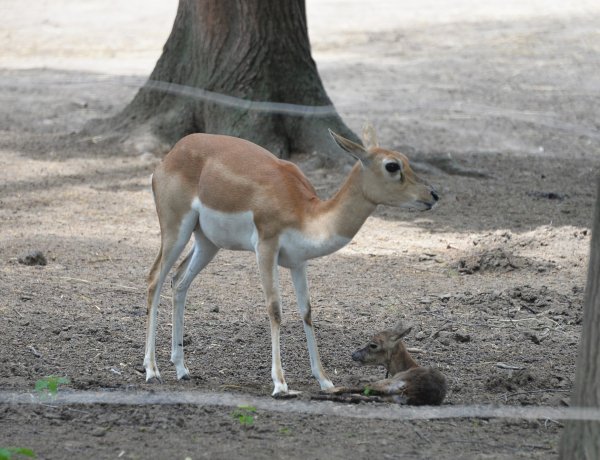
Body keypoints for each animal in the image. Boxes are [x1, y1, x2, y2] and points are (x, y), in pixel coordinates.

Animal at [143, 128, 438, 396]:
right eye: (392, 165)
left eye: (406, 160)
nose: (433, 195)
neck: (306, 212)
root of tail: (170, 156)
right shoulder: (266, 248)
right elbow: (275, 309)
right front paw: (280, 384)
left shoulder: (298, 261)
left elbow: (307, 312)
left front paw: (325, 381)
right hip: (175, 229)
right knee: (155, 278)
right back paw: (152, 371)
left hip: (207, 242)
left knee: (179, 281)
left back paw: (181, 369)